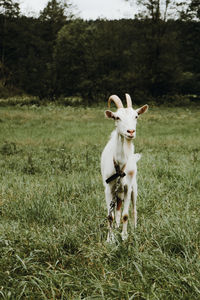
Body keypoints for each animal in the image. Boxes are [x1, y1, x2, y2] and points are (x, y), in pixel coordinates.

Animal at [101, 94, 148, 241]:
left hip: (134, 189)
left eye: (136, 116)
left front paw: (125, 236)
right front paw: (110, 239)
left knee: (133, 209)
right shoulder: (109, 188)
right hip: (117, 191)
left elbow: (126, 215)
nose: (131, 131)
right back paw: (116, 226)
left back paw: (134, 228)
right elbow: (110, 215)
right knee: (117, 208)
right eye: (117, 117)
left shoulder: (128, 187)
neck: (121, 164)